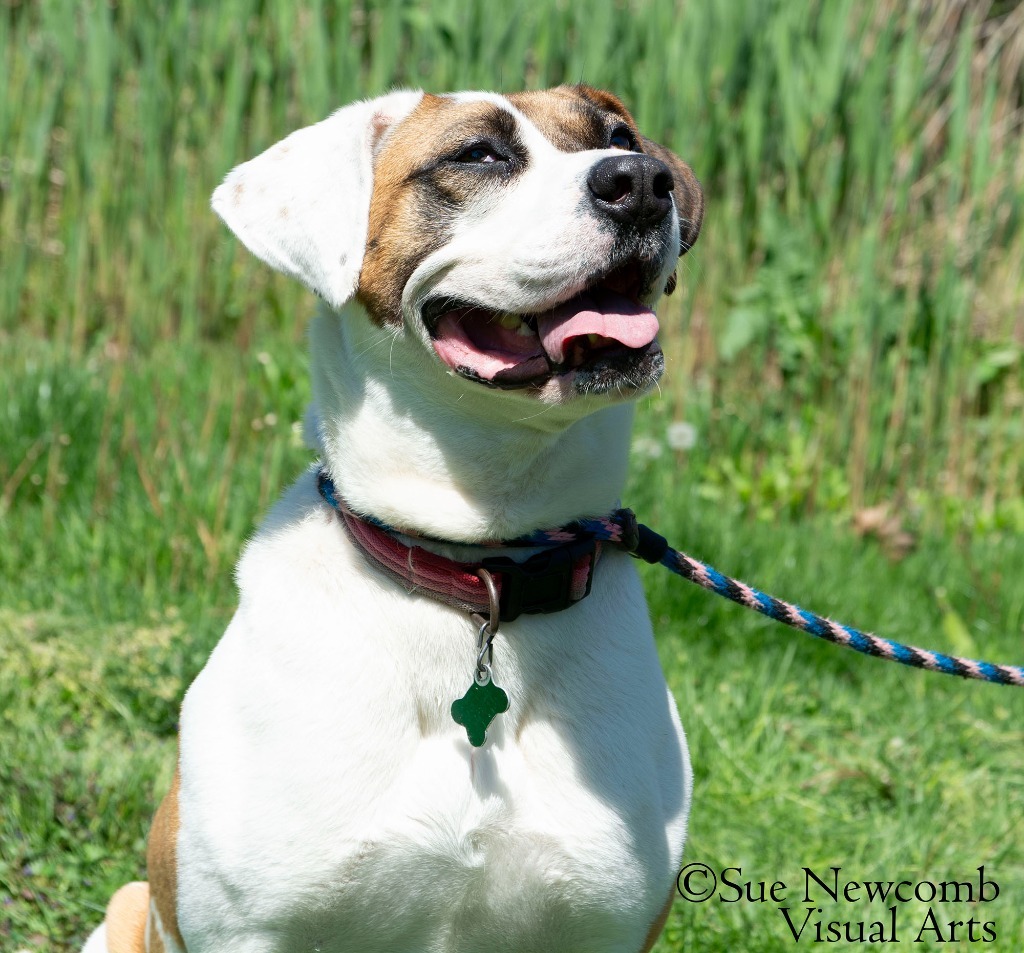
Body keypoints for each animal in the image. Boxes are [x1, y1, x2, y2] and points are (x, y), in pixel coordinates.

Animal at [81, 83, 704, 953]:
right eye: (477, 153)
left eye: (619, 136)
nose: (644, 182)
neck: (480, 565)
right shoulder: (249, 926)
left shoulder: (607, 922)